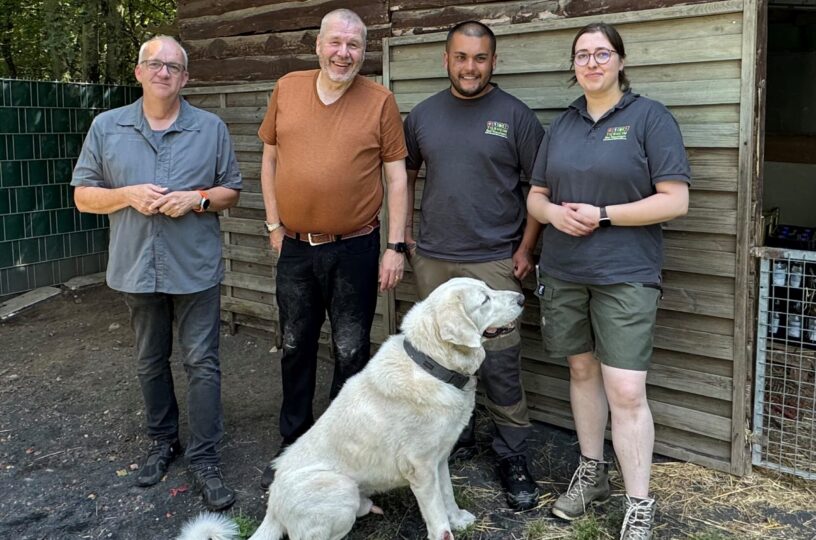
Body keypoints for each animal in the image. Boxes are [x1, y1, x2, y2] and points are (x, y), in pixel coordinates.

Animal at [177, 278, 524, 540]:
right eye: (485, 300)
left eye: (488, 288)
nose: (521, 298)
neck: (430, 364)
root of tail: (272, 506)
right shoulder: (421, 468)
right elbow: (436, 515)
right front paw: (445, 530)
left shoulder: (439, 459)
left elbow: (448, 495)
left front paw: (458, 519)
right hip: (339, 488)